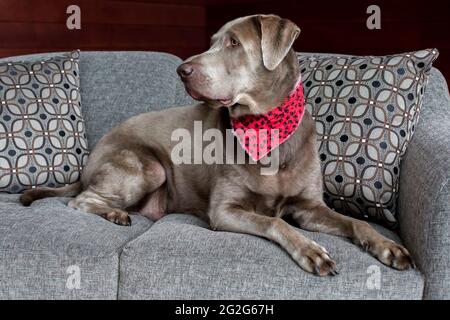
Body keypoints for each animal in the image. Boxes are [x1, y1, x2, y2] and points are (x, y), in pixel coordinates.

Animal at [22, 14, 414, 276]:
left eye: (234, 43)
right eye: (212, 41)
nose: (182, 70)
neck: (266, 128)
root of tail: (89, 162)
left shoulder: (309, 207)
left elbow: (355, 222)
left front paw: (387, 246)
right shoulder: (225, 211)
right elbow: (275, 223)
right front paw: (311, 250)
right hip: (147, 167)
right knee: (79, 200)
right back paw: (115, 213)